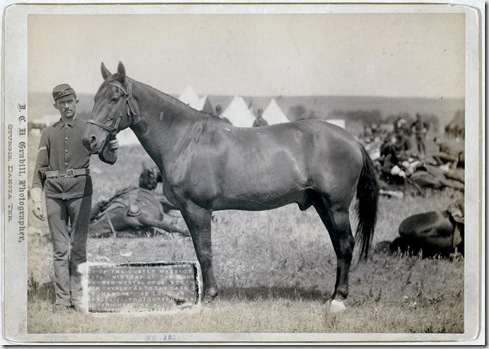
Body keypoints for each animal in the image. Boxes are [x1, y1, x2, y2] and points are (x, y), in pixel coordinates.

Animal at [82, 61, 380, 312]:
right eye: (94, 98)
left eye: (114, 99)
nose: (89, 139)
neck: (185, 139)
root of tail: (353, 141)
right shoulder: (187, 211)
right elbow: (199, 249)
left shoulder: (198, 209)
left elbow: (205, 251)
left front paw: (209, 296)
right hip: (322, 205)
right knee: (338, 245)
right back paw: (333, 295)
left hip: (336, 207)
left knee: (345, 244)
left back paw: (339, 299)